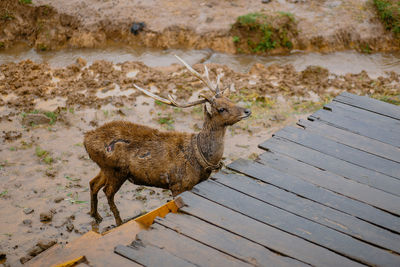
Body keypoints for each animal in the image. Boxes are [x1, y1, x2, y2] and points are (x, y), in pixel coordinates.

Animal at [83, 56, 252, 226]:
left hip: (105, 168)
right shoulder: (178, 184)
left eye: (230, 99)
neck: (201, 158)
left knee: (93, 183)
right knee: (107, 192)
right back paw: (118, 222)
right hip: (116, 170)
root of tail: (86, 139)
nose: (247, 111)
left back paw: (95, 216)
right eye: (221, 109)